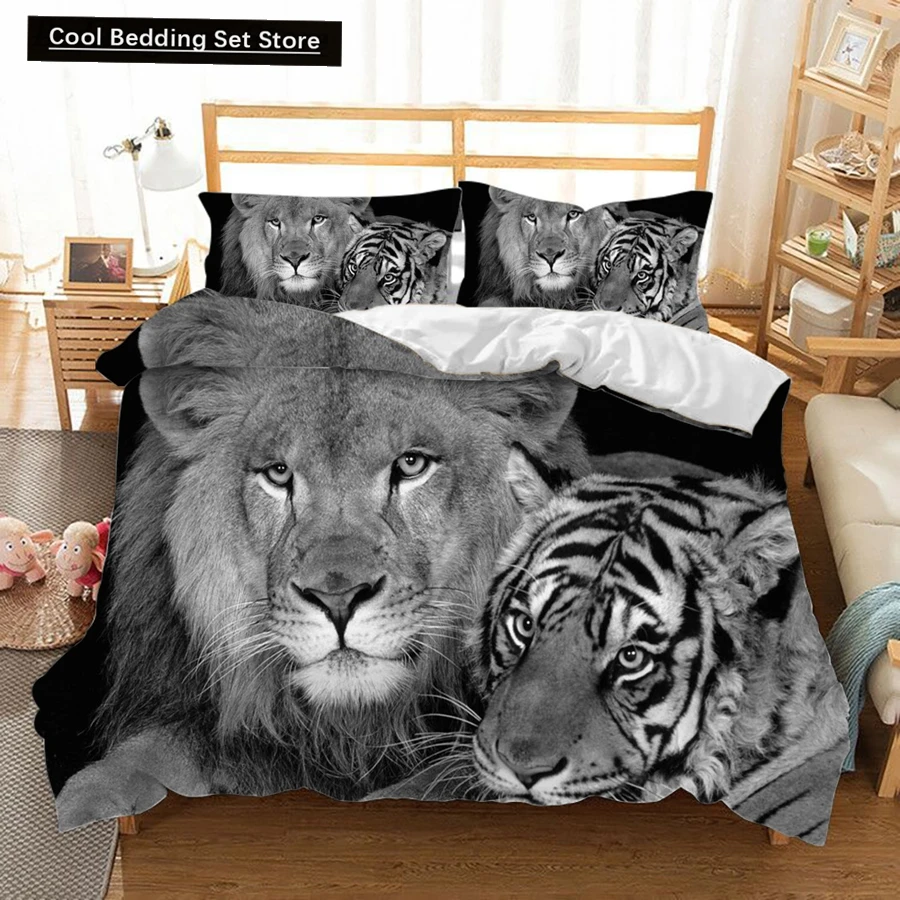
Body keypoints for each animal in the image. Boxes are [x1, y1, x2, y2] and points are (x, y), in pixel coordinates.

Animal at [54, 326, 589, 828]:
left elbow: (449, 779)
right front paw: (86, 809)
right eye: (278, 473)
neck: (348, 733)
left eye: (411, 464)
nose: (338, 600)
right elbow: (140, 756)